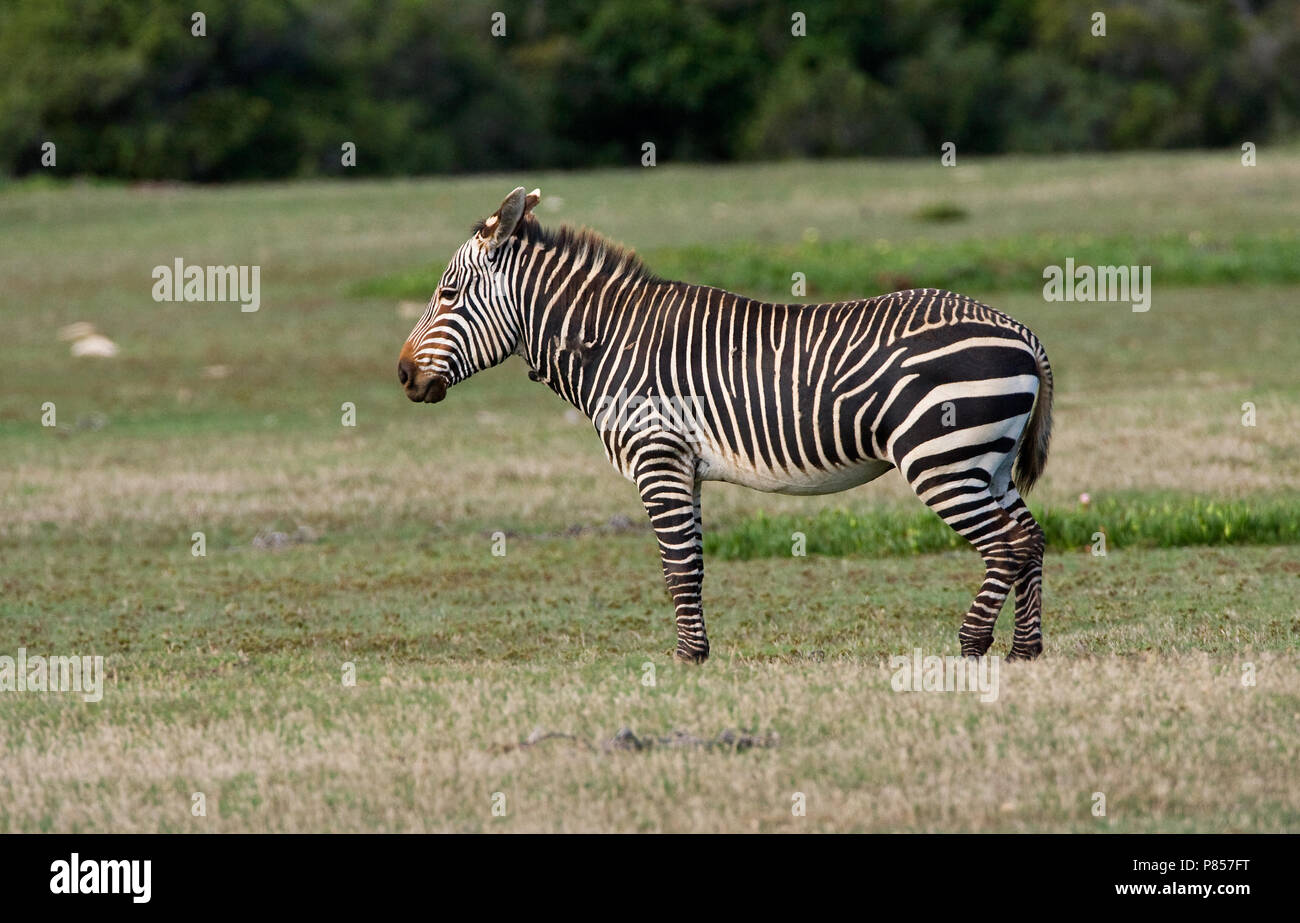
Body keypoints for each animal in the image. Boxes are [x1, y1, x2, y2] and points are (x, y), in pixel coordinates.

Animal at [397, 188, 1055, 665]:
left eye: (448, 294)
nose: (403, 374)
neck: (608, 341)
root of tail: (1023, 332)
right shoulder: (681, 466)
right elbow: (689, 564)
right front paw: (697, 651)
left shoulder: (657, 456)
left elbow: (677, 564)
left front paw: (688, 658)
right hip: (988, 463)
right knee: (1031, 539)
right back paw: (1025, 651)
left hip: (942, 458)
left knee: (1006, 545)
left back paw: (972, 646)